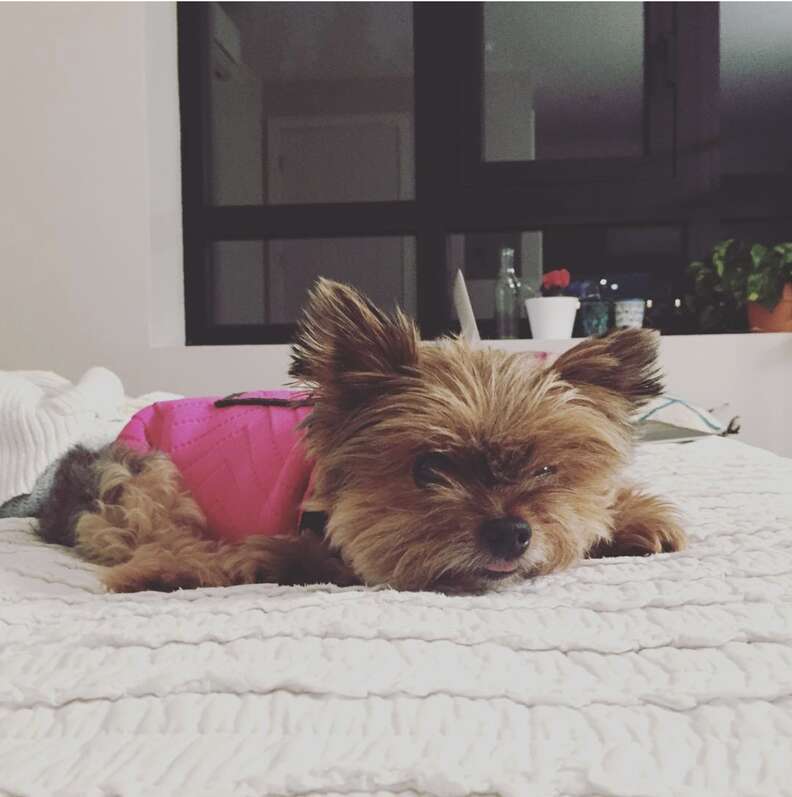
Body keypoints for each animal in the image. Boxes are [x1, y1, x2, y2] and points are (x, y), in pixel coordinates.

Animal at [3, 280, 684, 592]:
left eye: (546, 471)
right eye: (427, 468)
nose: (511, 533)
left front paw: (631, 518)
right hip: (141, 478)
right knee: (148, 540)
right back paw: (183, 569)